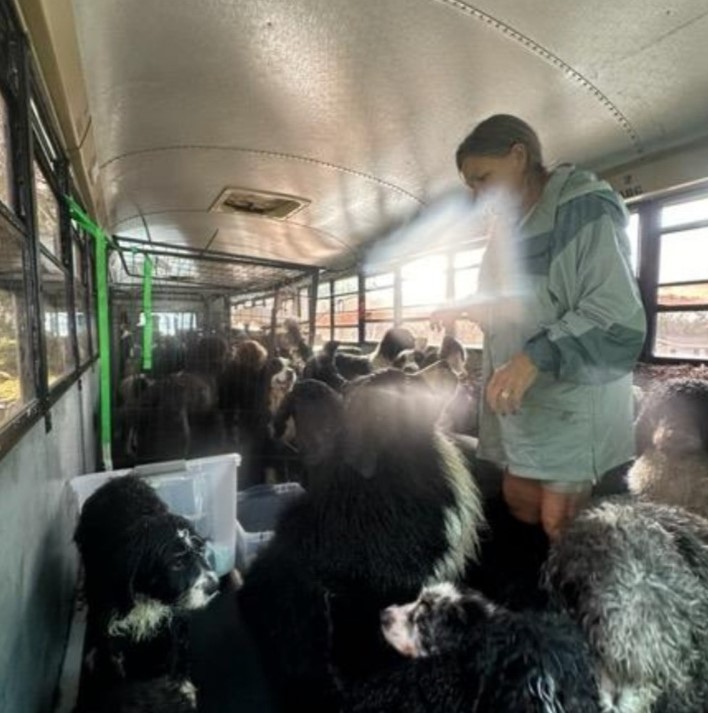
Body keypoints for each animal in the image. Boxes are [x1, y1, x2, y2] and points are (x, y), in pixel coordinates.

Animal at [74, 476, 218, 688]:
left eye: (201, 551)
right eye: (176, 563)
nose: (214, 586)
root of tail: (118, 479)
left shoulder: (174, 616)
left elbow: (175, 653)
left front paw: (180, 685)